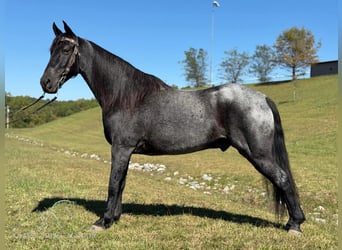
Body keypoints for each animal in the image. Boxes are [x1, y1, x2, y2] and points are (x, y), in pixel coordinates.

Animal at [39, 22, 304, 234]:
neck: (126, 95)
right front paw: (114, 218)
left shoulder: (121, 148)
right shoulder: (126, 151)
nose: (46, 83)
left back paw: (295, 225)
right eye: (51, 50)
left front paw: (102, 222)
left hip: (258, 154)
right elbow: (121, 183)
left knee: (283, 179)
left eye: (66, 49)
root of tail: (263, 98)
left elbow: (113, 184)